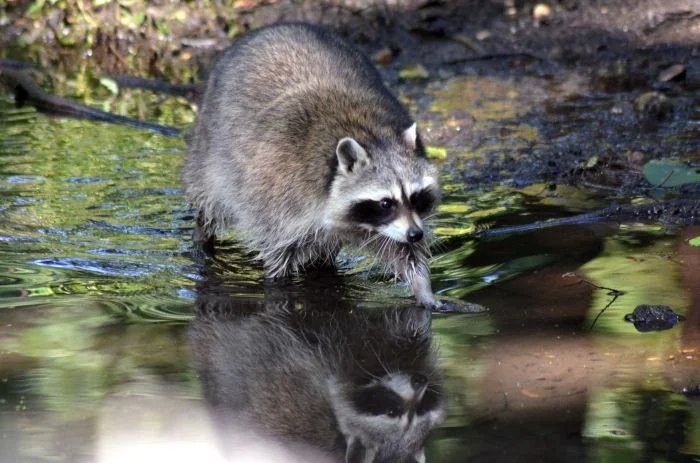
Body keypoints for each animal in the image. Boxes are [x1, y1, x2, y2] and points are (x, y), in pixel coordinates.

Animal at [183, 22, 446, 312]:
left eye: (416, 196)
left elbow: (404, 252)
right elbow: (277, 252)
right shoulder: (278, 198)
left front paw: (423, 288)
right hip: (208, 153)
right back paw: (202, 238)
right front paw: (279, 289)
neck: (371, 136)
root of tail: (274, 27)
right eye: (386, 203)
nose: (416, 234)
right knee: (210, 202)